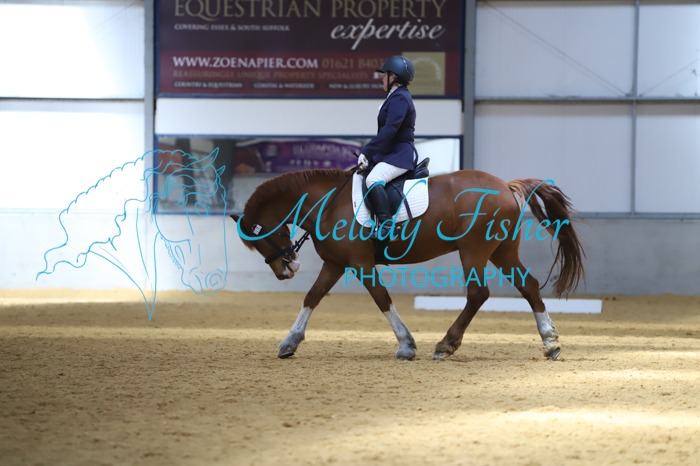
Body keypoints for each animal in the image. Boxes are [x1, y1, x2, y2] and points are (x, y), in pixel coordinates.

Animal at [230, 168, 585, 361]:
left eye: (260, 237)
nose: (285, 271)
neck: (327, 203)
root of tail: (505, 186)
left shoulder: (360, 263)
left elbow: (382, 299)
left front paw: (406, 344)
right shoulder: (335, 263)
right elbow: (312, 298)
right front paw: (289, 342)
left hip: (473, 251)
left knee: (478, 294)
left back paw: (445, 345)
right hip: (502, 252)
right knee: (529, 286)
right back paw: (550, 342)